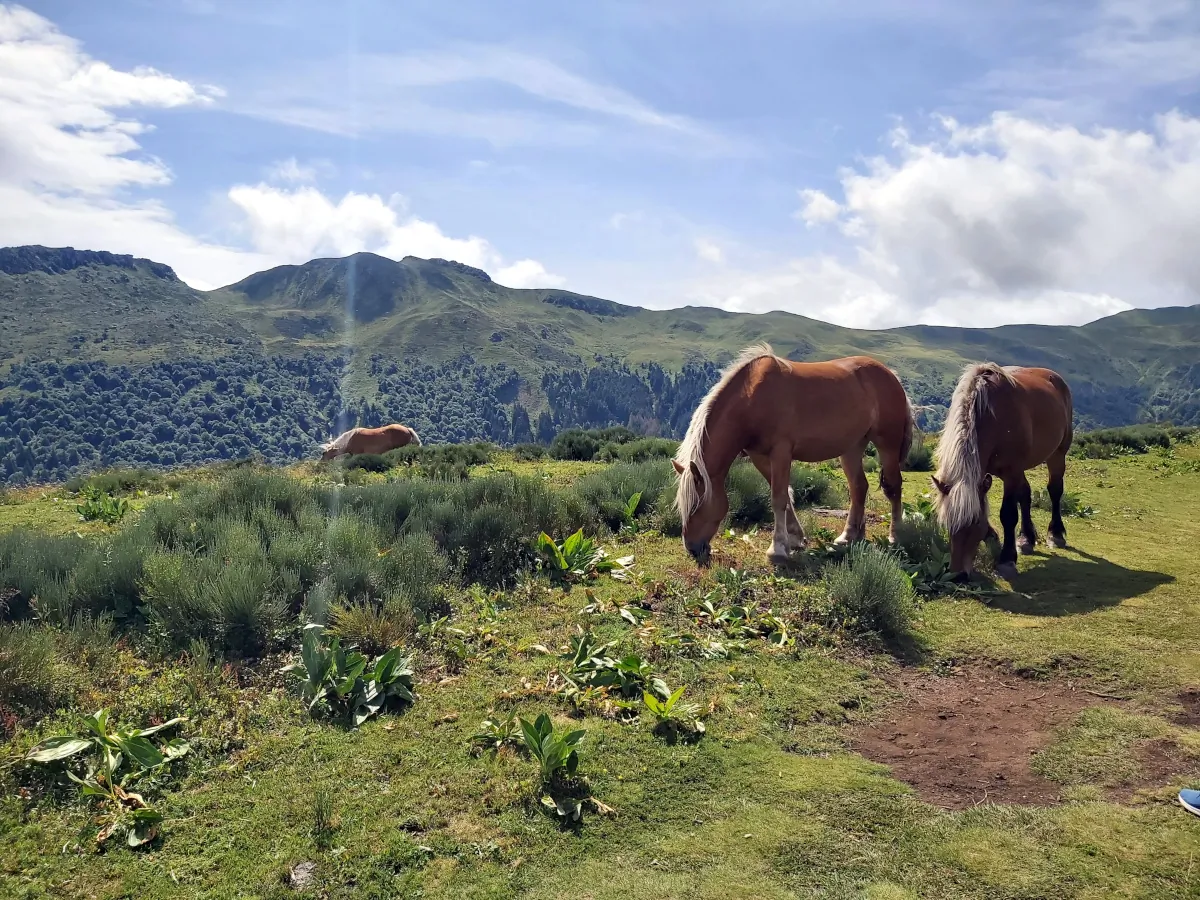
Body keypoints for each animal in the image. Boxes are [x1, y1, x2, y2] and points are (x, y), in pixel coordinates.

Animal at [672, 343, 912, 564]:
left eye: (696, 505)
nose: (692, 548)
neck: (752, 398)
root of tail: (891, 375)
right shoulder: (760, 456)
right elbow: (785, 495)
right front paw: (796, 538)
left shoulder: (781, 453)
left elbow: (778, 498)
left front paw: (777, 548)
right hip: (852, 448)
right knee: (858, 487)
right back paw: (849, 536)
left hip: (887, 444)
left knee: (893, 486)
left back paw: (895, 536)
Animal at [926, 367, 1080, 585]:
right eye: (948, 523)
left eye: (975, 523)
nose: (958, 576)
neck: (991, 416)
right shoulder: (989, 473)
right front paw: (994, 538)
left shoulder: (1011, 472)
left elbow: (1007, 514)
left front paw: (1006, 560)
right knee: (1026, 494)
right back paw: (1026, 538)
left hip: (1057, 454)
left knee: (1055, 490)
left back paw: (1056, 534)